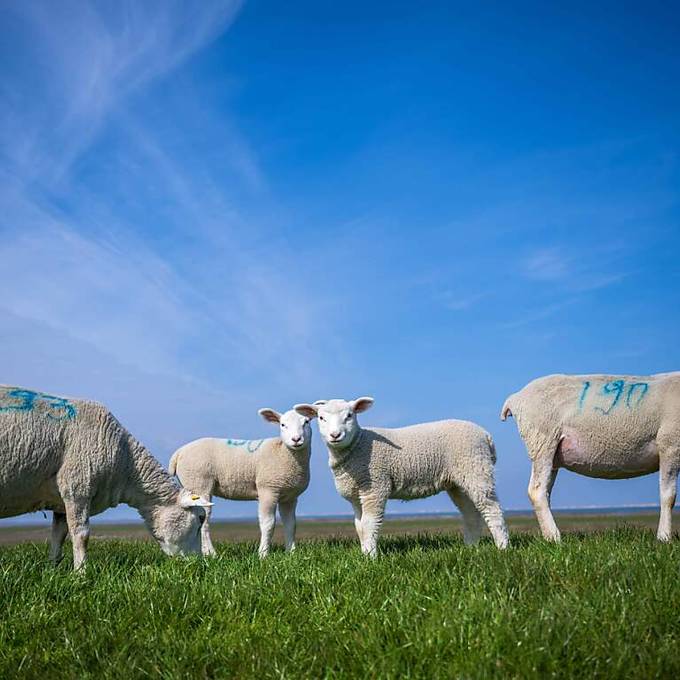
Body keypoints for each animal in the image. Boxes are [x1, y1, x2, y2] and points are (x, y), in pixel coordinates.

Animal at [0, 382, 211, 568]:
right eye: (200, 518)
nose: (198, 564)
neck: (126, 464)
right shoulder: (77, 486)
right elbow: (81, 534)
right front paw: (81, 573)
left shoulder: (60, 500)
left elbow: (58, 535)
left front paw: (53, 569)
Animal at [167, 410, 316, 556]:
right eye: (283, 424)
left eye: (306, 422)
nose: (296, 439)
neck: (282, 451)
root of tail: (180, 452)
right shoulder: (268, 490)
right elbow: (268, 524)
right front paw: (263, 554)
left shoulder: (290, 497)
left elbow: (291, 524)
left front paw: (292, 553)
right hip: (199, 483)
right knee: (204, 520)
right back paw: (211, 553)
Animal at [294, 396, 508, 556]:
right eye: (321, 418)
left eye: (349, 415)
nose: (335, 435)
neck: (358, 446)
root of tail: (486, 435)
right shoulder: (356, 495)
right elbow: (360, 527)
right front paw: (364, 553)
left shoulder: (375, 487)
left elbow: (370, 524)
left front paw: (371, 557)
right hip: (458, 481)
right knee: (471, 513)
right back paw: (471, 548)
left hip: (476, 468)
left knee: (492, 509)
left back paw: (503, 547)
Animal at [500, 372, 680, 540]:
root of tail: (516, 397)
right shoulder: (670, 443)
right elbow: (668, 496)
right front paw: (664, 538)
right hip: (542, 441)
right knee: (536, 491)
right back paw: (554, 537)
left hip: (551, 454)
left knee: (545, 492)